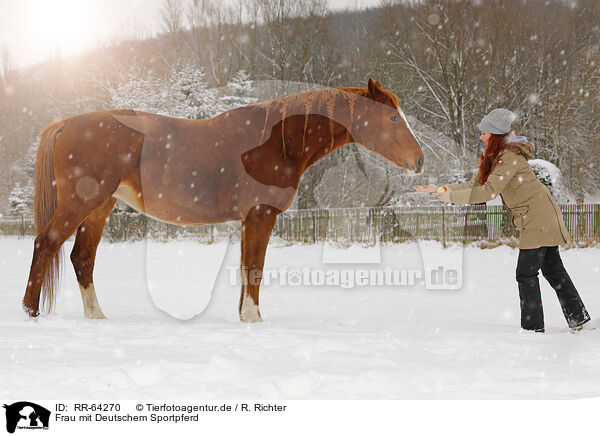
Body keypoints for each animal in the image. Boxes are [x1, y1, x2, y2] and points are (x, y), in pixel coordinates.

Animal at [23, 78, 424, 322]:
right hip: (79, 204)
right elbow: (255, 267)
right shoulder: (261, 214)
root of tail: (66, 123)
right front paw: (254, 318)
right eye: (392, 117)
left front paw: (244, 316)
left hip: (100, 206)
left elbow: (248, 267)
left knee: (81, 257)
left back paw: (97, 317)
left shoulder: (250, 218)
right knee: (46, 243)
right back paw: (30, 313)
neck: (276, 143)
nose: (419, 161)